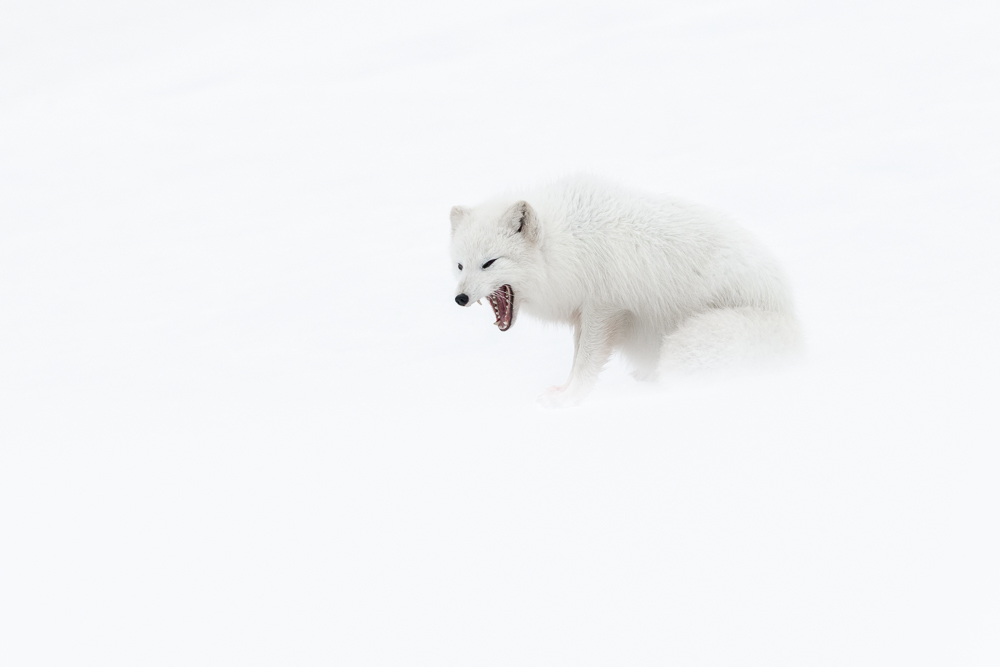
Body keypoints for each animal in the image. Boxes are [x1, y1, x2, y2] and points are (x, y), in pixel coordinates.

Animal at [449, 175, 801, 408]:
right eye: (460, 265)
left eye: (489, 263)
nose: (460, 299)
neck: (563, 243)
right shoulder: (586, 313)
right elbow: (577, 360)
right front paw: (564, 390)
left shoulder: (604, 308)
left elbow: (585, 363)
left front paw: (570, 399)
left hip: (694, 342)